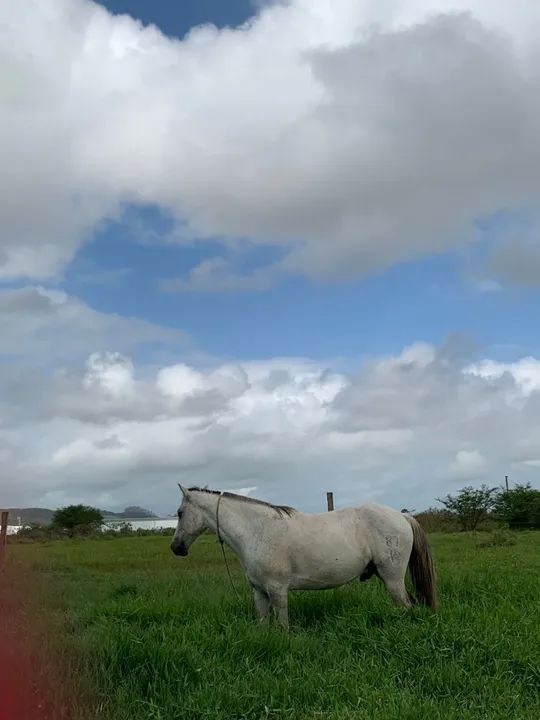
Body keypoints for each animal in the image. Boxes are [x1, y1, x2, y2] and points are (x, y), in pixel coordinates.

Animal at [170, 485, 437, 629]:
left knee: (406, 606)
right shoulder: (259, 592)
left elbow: (283, 625)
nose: (176, 548)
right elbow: (263, 624)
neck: (257, 530)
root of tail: (402, 516)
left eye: (180, 512)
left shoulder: (277, 590)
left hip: (392, 579)